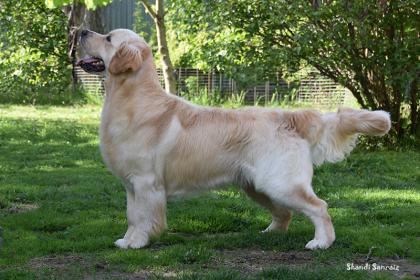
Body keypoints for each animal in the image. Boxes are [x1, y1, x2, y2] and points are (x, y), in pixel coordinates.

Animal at [78, 29, 390, 250]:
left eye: (108, 38)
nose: (80, 31)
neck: (131, 98)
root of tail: (290, 117)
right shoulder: (131, 185)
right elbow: (132, 215)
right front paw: (127, 239)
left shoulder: (146, 182)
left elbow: (143, 217)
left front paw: (138, 242)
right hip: (258, 186)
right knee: (285, 214)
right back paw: (270, 234)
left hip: (280, 183)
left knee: (319, 207)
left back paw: (321, 242)